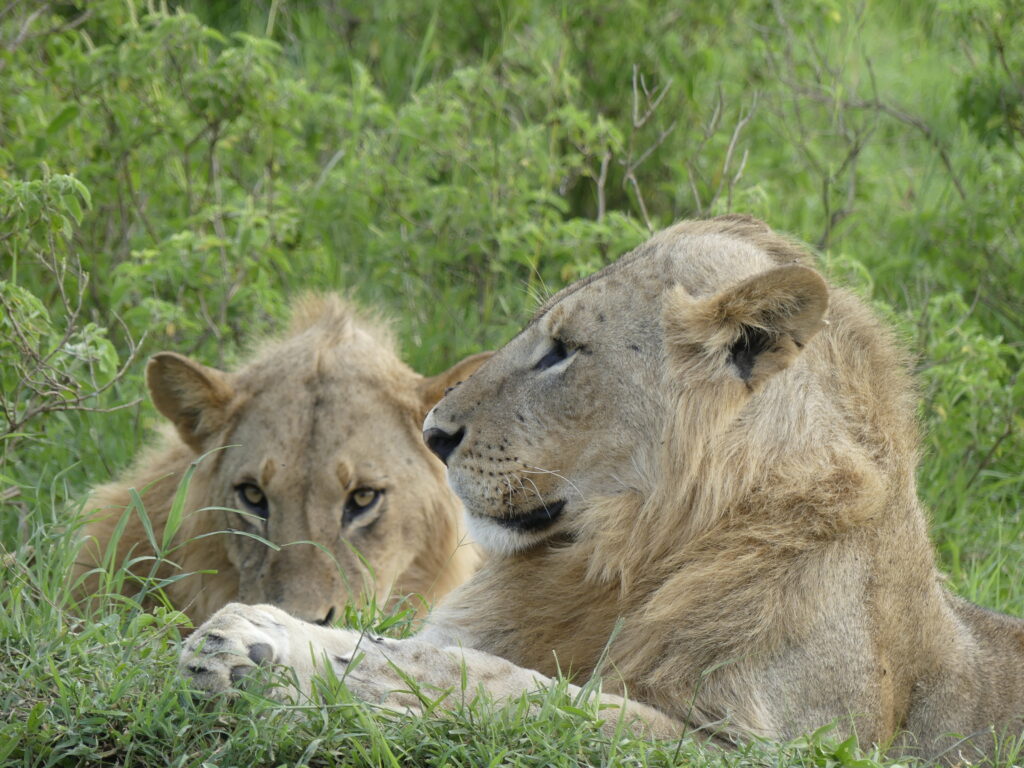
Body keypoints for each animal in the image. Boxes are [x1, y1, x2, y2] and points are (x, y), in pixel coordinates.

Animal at [179, 217, 1023, 762]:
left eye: (563, 351)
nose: (434, 433)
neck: (629, 555)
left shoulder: (758, 747)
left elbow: (509, 687)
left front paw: (258, 648)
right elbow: (430, 649)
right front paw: (261, 640)